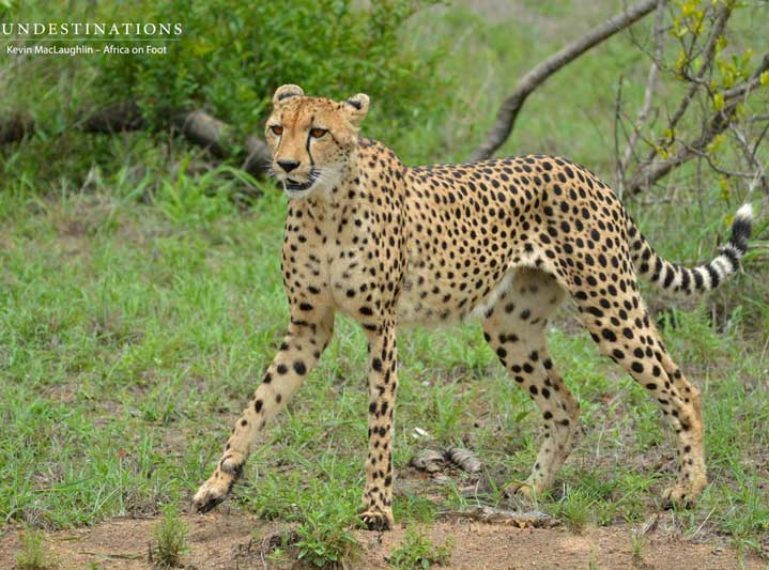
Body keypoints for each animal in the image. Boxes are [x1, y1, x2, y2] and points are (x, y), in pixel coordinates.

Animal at [190, 84, 752, 528]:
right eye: (275, 127)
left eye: (318, 133)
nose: (285, 164)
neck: (324, 203)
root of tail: (583, 171)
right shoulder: (309, 325)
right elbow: (258, 403)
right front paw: (219, 482)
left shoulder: (382, 328)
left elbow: (378, 423)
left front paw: (376, 508)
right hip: (510, 326)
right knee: (565, 404)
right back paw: (533, 489)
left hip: (608, 304)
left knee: (682, 387)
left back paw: (688, 489)